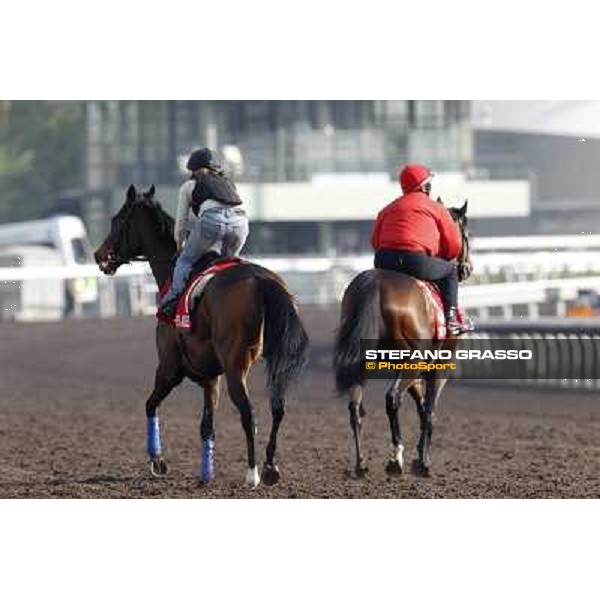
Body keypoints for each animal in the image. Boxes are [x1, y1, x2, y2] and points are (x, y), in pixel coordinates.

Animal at [95, 186, 310, 488]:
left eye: (118, 220)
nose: (99, 255)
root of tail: (261, 280)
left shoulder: (169, 368)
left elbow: (150, 405)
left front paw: (157, 461)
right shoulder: (211, 378)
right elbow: (206, 426)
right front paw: (206, 474)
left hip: (235, 367)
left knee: (249, 413)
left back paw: (252, 474)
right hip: (276, 360)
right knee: (278, 407)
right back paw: (269, 467)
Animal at [332, 202, 468, 478]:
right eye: (466, 235)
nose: (467, 267)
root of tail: (374, 285)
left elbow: (420, 406)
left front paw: (419, 456)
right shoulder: (439, 367)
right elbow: (429, 409)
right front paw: (422, 461)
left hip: (365, 362)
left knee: (355, 406)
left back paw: (361, 464)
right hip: (412, 363)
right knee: (392, 398)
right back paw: (395, 459)